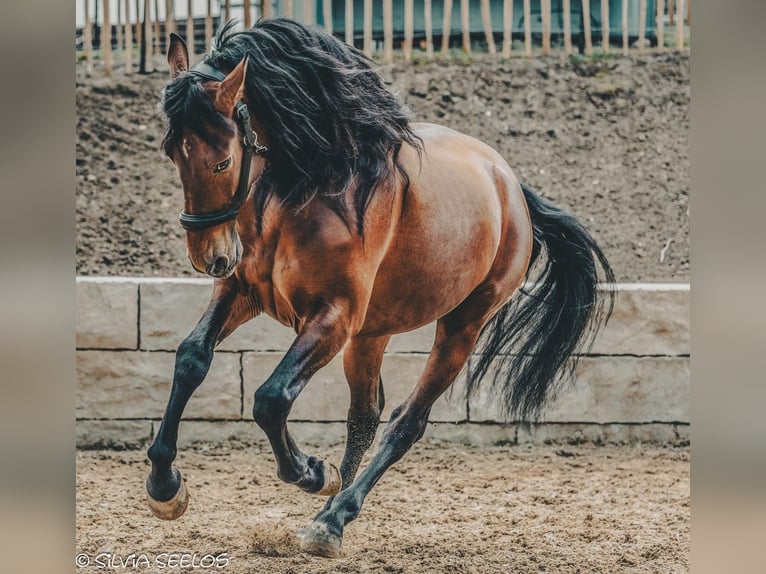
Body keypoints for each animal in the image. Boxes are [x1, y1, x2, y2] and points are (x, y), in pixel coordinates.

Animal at [145, 18, 615, 558]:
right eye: (170, 152)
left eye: (222, 162)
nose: (211, 257)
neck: (307, 189)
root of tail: (509, 184)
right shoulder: (243, 292)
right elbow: (191, 358)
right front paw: (164, 486)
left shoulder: (332, 317)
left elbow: (271, 398)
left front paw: (312, 471)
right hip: (372, 332)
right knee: (365, 414)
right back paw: (325, 515)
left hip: (461, 325)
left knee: (406, 422)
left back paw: (333, 516)